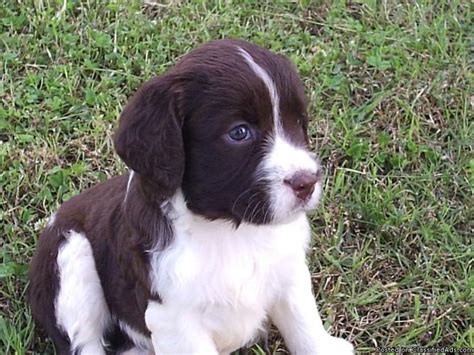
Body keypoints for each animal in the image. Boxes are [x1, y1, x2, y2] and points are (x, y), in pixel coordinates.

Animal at [27, 39, 354, 355]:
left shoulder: (289, 270)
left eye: (298, 123)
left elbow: (303, 321)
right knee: (85, 342)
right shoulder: (174, 318)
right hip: (69, 257)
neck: (231, 230)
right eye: (239, 133)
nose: (307, 182)